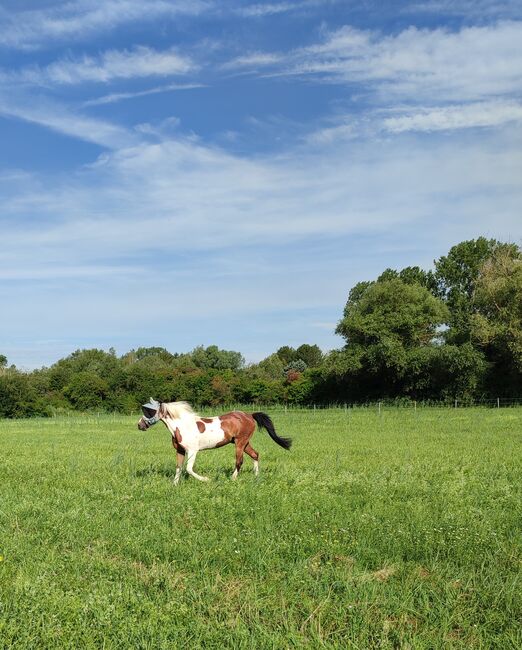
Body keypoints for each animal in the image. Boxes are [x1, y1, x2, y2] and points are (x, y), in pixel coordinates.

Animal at [136, 398, 290, 484]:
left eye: (148, 411)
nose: (139, 425)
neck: (182, 426)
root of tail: (250, 415)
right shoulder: (180, 450)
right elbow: (179, 468)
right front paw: (174, 485)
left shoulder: (192, 451)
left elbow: (188, 469)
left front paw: (207, 480)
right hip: (244, 443)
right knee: (255, 455)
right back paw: (256, 477)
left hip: (240, 443)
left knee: (239, 461)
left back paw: (232, 479)